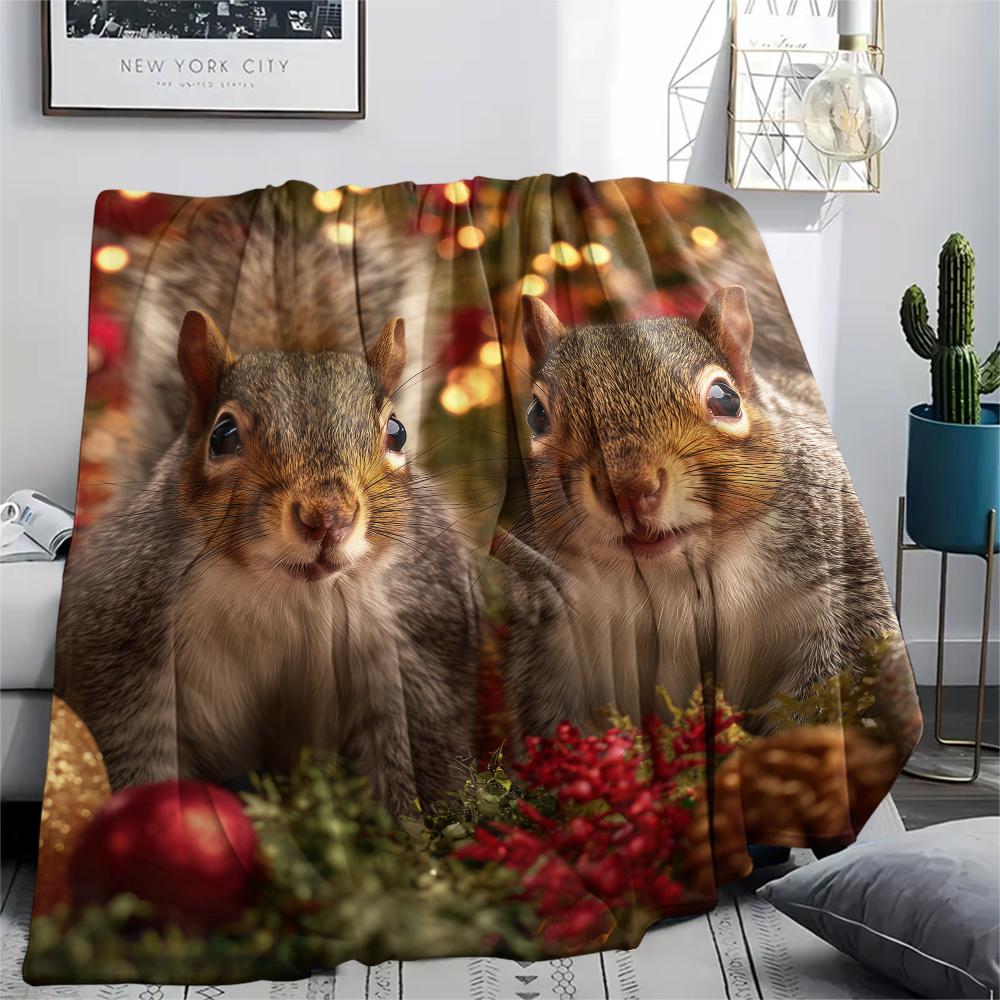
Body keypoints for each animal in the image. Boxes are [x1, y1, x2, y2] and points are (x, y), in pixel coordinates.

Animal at [57, 310, 478, 815]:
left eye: (397, 432)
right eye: (222, 436)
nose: (328, 517)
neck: (289, 589)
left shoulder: (418, 641)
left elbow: (420, 749)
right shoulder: (125, 630)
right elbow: (130, 745)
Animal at [499, 280, 900, 750]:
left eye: (725, 399)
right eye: (536, 416)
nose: (628, 489)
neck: (676, 578)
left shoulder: (841, 598)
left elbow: (824, 690)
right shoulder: (558, 639)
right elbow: (554, 714)